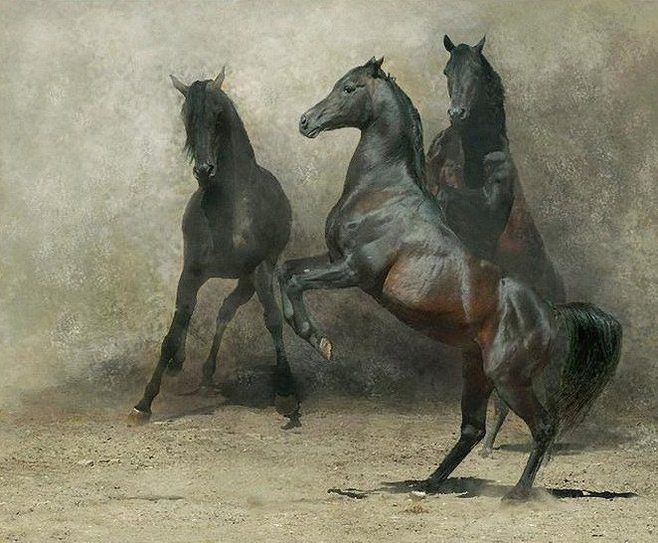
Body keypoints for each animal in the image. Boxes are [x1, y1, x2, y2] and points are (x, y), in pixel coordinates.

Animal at [129, 69, 301, 428]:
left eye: (218, 116)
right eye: (186, 117)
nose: (204, 169)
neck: (228, 207)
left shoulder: (260, 270)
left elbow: (274, 321)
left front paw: (286, 395)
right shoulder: (191, 272)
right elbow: (173, 332)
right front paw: (144, 403)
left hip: (249, 281)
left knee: (227, 310)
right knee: (207, 313)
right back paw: (191, 368)